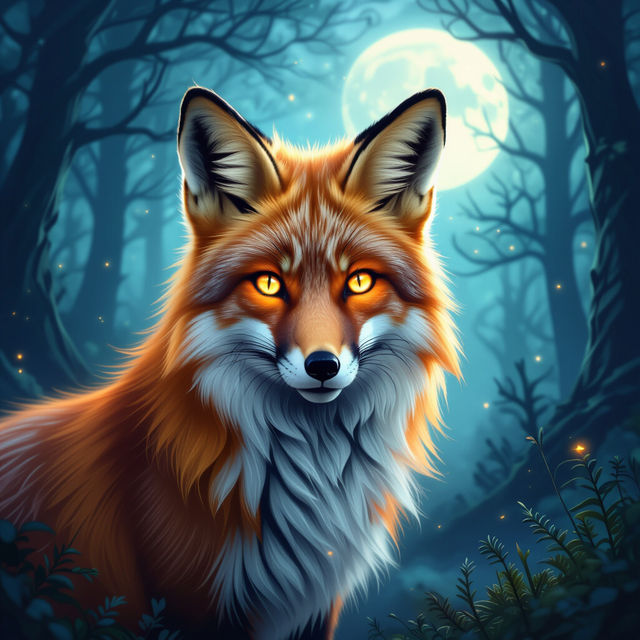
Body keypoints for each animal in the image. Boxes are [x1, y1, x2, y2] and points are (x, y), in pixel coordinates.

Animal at [0, 87, 460, 640]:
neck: (309, 483)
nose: (322, 366)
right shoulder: (191, 605)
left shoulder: (314, 608)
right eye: (268, 283)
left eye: (359, 282)